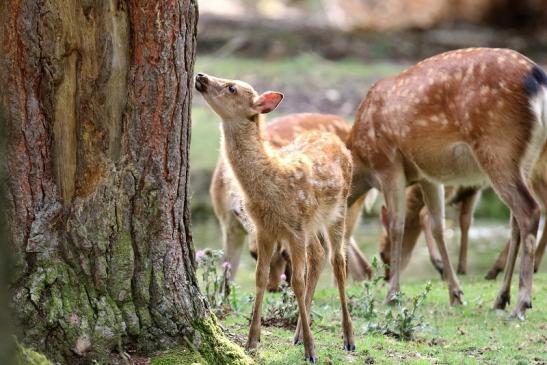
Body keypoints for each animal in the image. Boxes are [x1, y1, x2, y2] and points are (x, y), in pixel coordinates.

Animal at [197, 72, 356, 360]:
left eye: (232, 88)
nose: (200, 76)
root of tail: (338, 141)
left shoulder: (294, 229)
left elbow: (297, 282)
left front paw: (311, 351)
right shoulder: (265, 229)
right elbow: (260, 277)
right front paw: (251, 342)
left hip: (338, 209)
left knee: (338, 261)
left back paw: (348, 339)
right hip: (311, 223)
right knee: (318, 256)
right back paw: (297, 335)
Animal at [212, 112, 374, 288]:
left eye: (285, 255)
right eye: (253, 255)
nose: (273, 288)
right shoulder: (228, 225)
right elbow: (226, 279)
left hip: (347, 207)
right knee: (360, 266)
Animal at [348, 47, 544, 318]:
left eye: (381, 253)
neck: (361, 160)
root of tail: (537, 78)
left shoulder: (388, 165)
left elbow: (397, 226)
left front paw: (392, 295)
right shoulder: (427, 176)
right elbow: (438, 225)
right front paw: (456, 293)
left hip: (499, 148)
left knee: (530, 210)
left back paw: (521, 303)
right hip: (525, 159)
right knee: (515, 222)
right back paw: (500, 299)